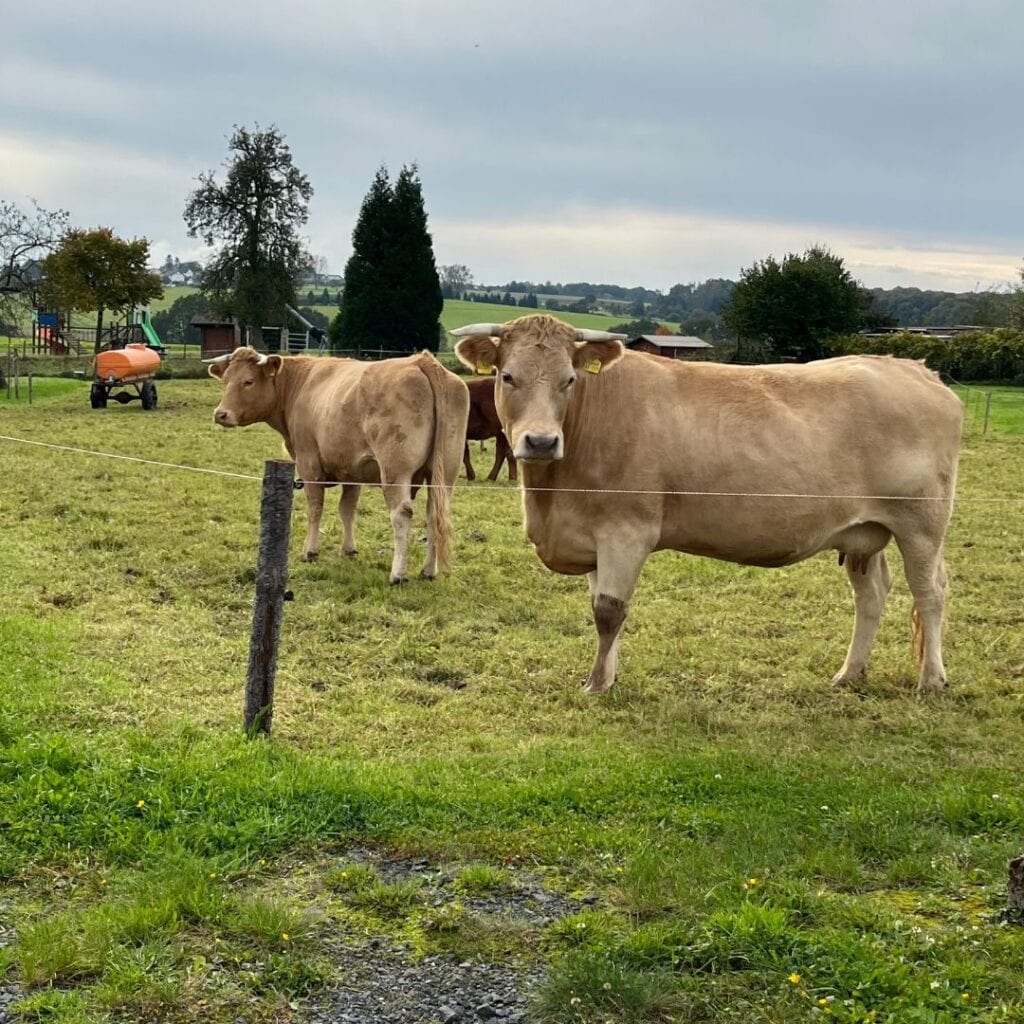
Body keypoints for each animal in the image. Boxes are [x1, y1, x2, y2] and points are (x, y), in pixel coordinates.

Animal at [207, 348, 470, 584]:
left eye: (248, 381)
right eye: (226, 380)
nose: (220, 414)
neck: (300, 385)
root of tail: (421, 360)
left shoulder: (308, 462)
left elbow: (315, 507)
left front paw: (310, 551)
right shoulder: (353, 469)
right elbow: (347, 509)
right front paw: (349, 549)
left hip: (395, 471)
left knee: (401, 514)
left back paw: (397, 574)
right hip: (446, 472)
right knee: (434, 513)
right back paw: (428, 571)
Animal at [452, 314, 963, 695]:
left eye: (569, 379)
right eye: (507, 376)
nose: (540, 441)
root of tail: (914, 368)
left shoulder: (626, 531)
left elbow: (609, 611)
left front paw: (596, 684)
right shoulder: (594, 534)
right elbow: (600, 607)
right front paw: (609, 676)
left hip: (922, 525)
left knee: (931, 592)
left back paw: (931, 680)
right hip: (865, 532)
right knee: (871, 594)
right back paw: (849, 673)